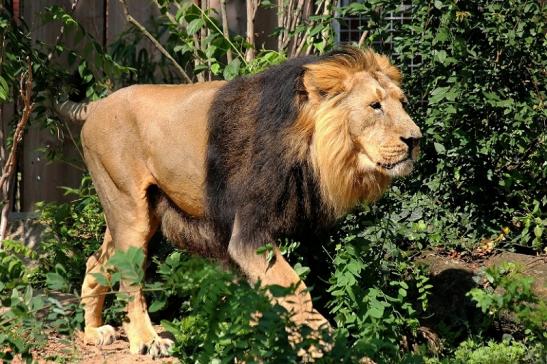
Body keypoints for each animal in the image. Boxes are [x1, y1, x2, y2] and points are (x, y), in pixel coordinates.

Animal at [55, 47, 422, 356]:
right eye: (375, 106)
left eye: (402, 103)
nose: (416, 139)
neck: (310, 142)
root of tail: (98, 103)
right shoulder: (248, 234)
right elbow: (296, 291)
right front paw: (327, 347)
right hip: (130, 211)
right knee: (129, 279)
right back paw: (147, 341)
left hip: (133, 213)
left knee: (96, 261)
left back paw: (93, 332)